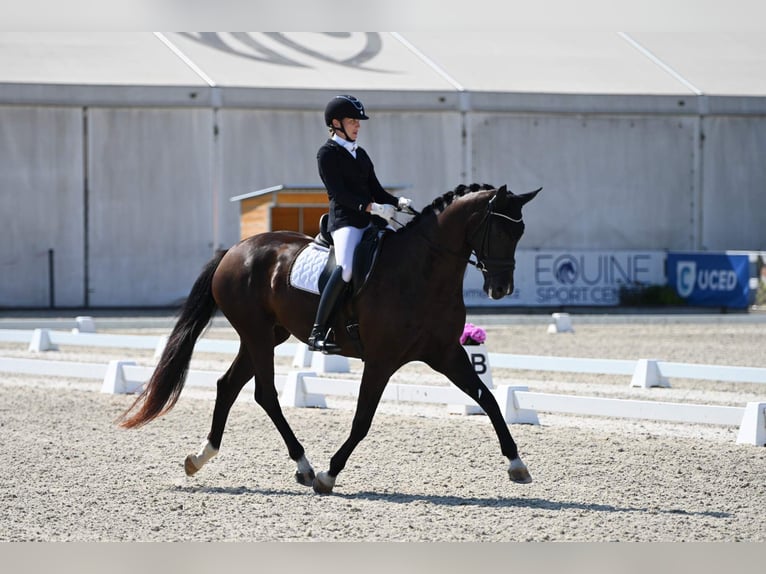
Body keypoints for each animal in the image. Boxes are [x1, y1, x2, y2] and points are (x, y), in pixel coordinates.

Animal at [118, 183, 540, 496]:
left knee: (229, 386)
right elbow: (362, 420)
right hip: (256, 332)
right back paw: (305, 466)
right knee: (265, 394)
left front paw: (517, 464)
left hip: (266, 334)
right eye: (499, 230)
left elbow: (488, 400)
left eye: (520, 231)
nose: (501, 288)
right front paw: (330, 474)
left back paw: (201, 457)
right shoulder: (382, 359)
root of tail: (234, 250)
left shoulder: (447, 352)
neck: (422, 271)